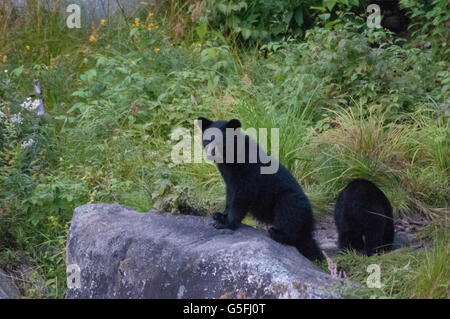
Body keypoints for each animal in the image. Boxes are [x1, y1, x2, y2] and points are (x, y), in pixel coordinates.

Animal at [197, 117, 324, 262]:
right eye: (207, 140)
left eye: (220, 142)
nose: (209, 155)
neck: (231, 159)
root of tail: (310, 220)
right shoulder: (228, 176)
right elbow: (230, 193)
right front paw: (219, 215)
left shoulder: (249, 170)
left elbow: (244, 194)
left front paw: (225, 223)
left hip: (292, 201)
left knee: (288, 214)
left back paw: (276, 233)